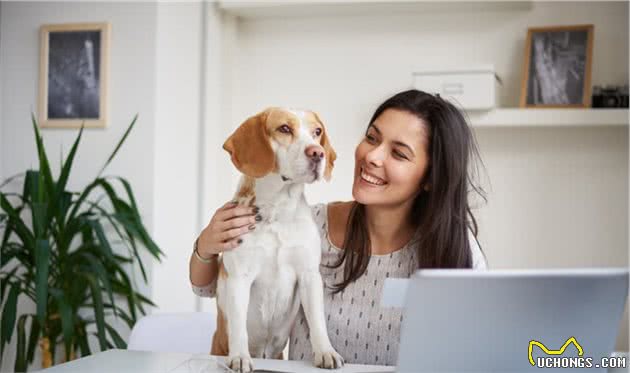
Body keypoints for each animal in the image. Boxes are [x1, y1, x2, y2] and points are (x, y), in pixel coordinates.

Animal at [211, 106, 346, 370]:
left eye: (317, 132)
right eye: (284, 128)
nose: (318, 153)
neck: (278, 212)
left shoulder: (309, 275)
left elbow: (317, 321)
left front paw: (326, 352)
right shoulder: (239, 277)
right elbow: (239, 327)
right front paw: (240, 356)